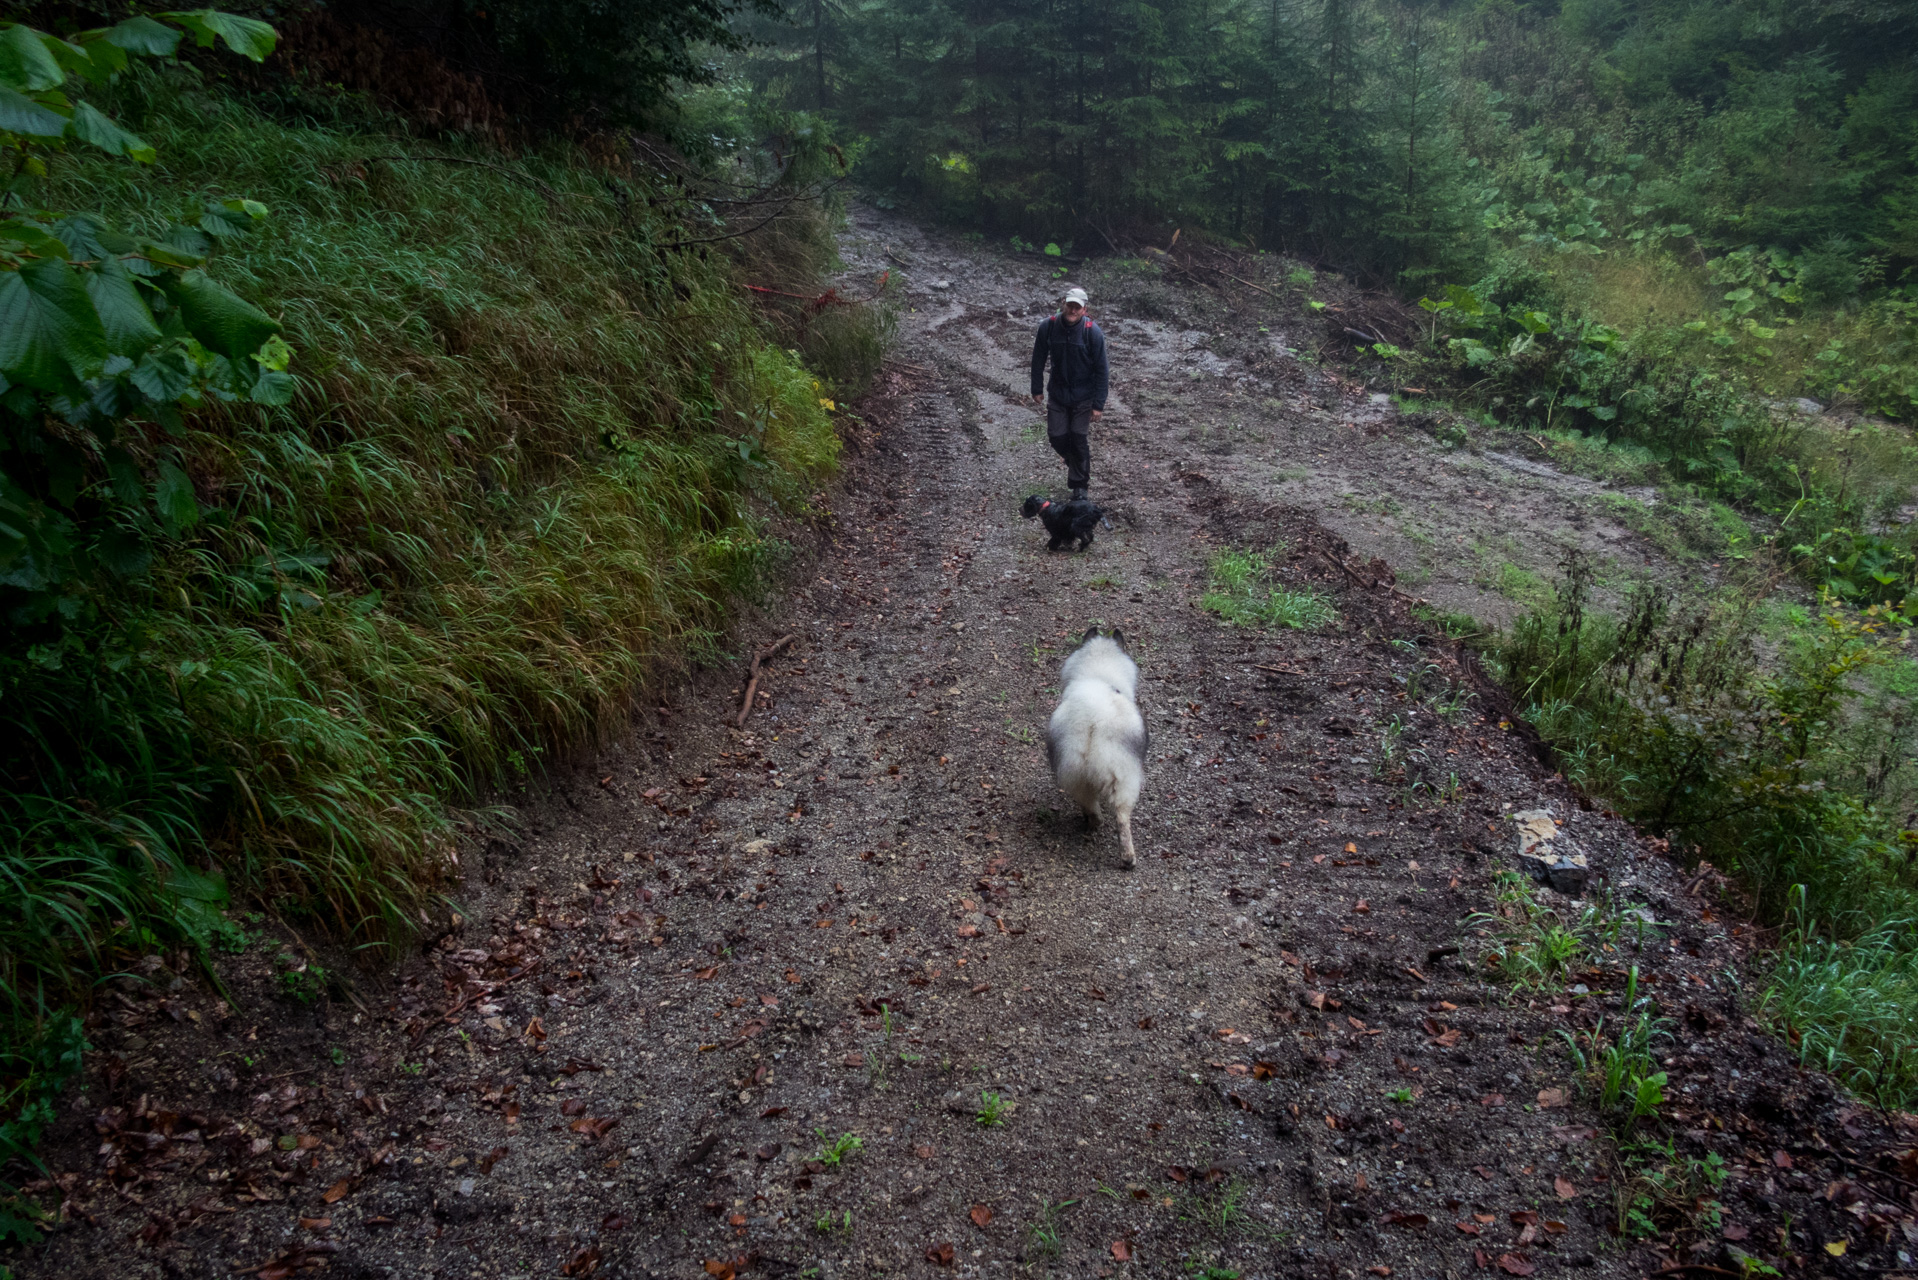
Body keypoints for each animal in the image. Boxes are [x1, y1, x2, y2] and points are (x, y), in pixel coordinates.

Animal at [1043, 625, 1143, 867]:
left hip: (1078, 775)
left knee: (1096, 809)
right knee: (1119, 818)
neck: (1098, 676)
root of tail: (1093, 721)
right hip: (1121, 779)